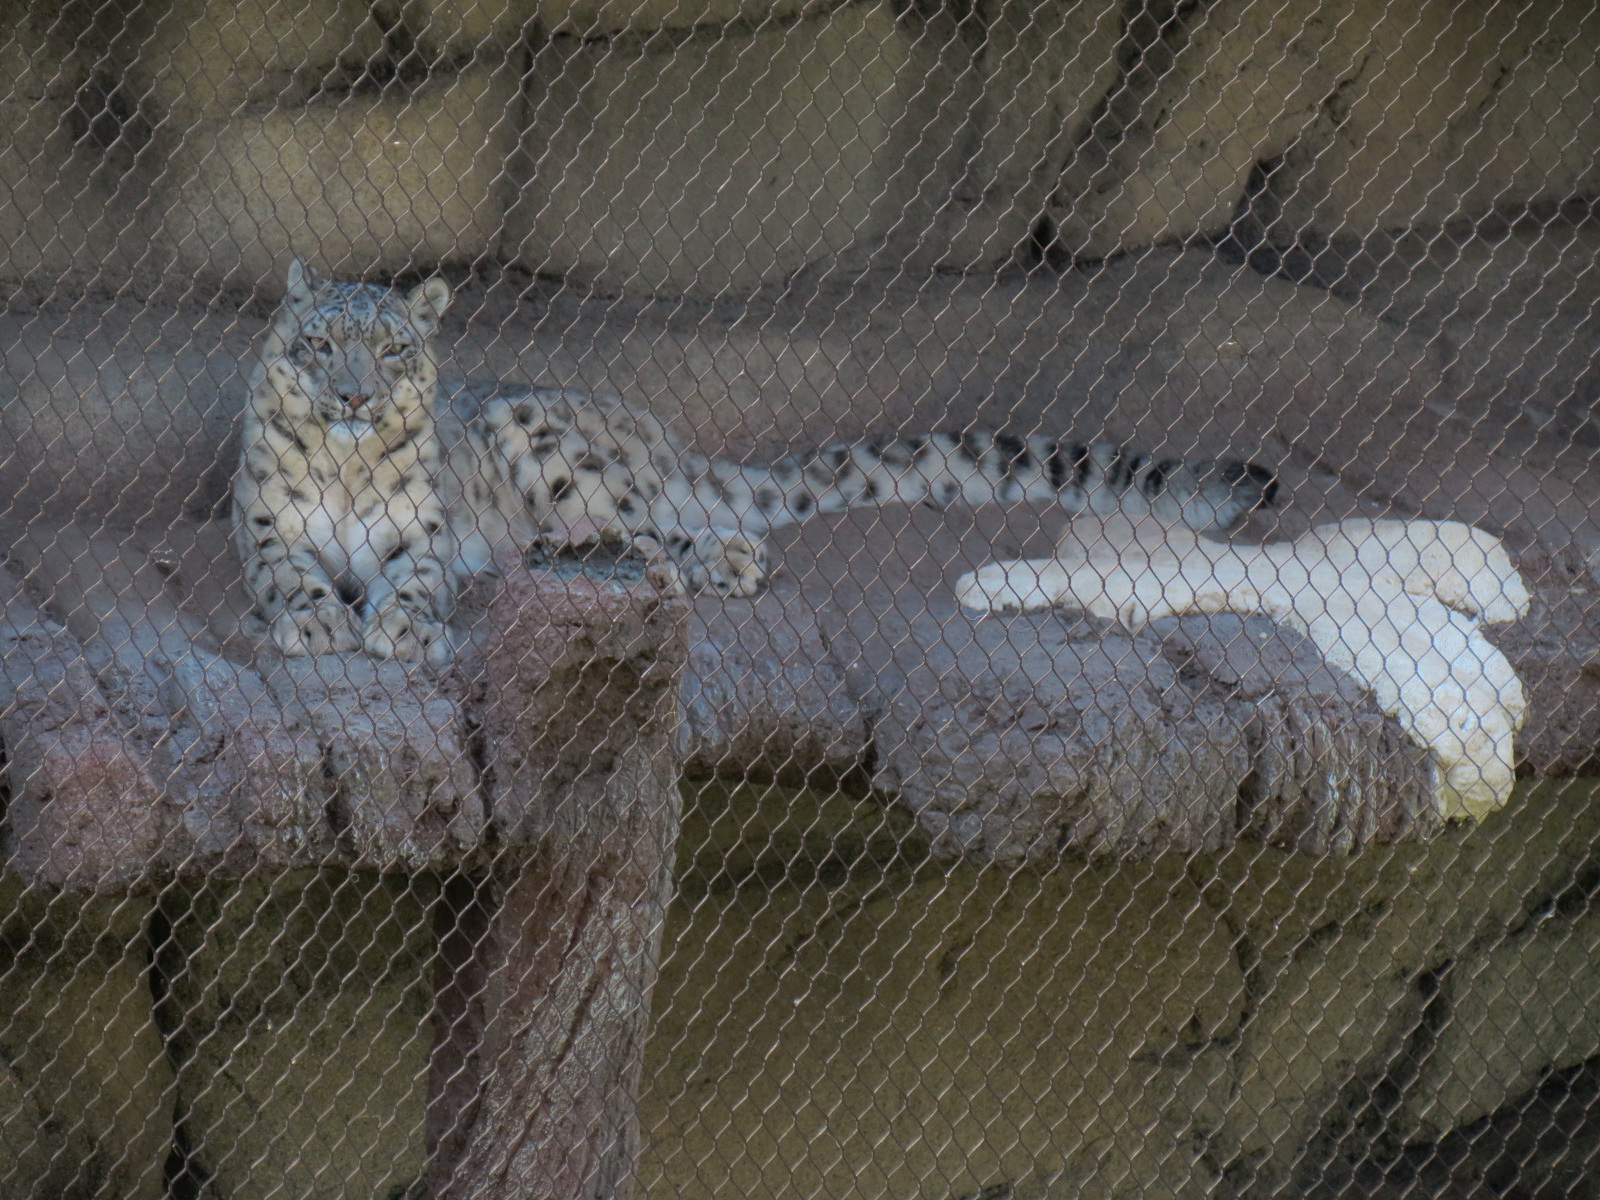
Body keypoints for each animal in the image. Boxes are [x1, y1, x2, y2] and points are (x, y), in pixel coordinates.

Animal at [234, 259, 1281, 667]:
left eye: (392, 349)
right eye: (320, 346)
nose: (354, 399)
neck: (346, 477)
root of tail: (657, 433)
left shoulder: (419, 534)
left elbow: (412, 577)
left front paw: (396, 627)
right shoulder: (268, 532)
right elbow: (289, 571)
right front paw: (317, 621)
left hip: (557, 454)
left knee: (673, 528)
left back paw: (726, 558)